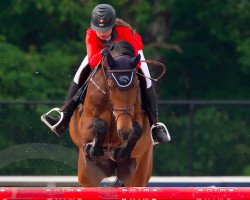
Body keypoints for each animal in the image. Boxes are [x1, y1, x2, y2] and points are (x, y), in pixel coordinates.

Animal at [69, 40, 153, 188]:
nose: (124, 131)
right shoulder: (85, 121)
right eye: (110, 86)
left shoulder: (136, 119)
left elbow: (137, 130)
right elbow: (99, 124)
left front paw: (121, 152)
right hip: (87, 174)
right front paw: (92, 148)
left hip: (137, 175)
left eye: (136, 86)